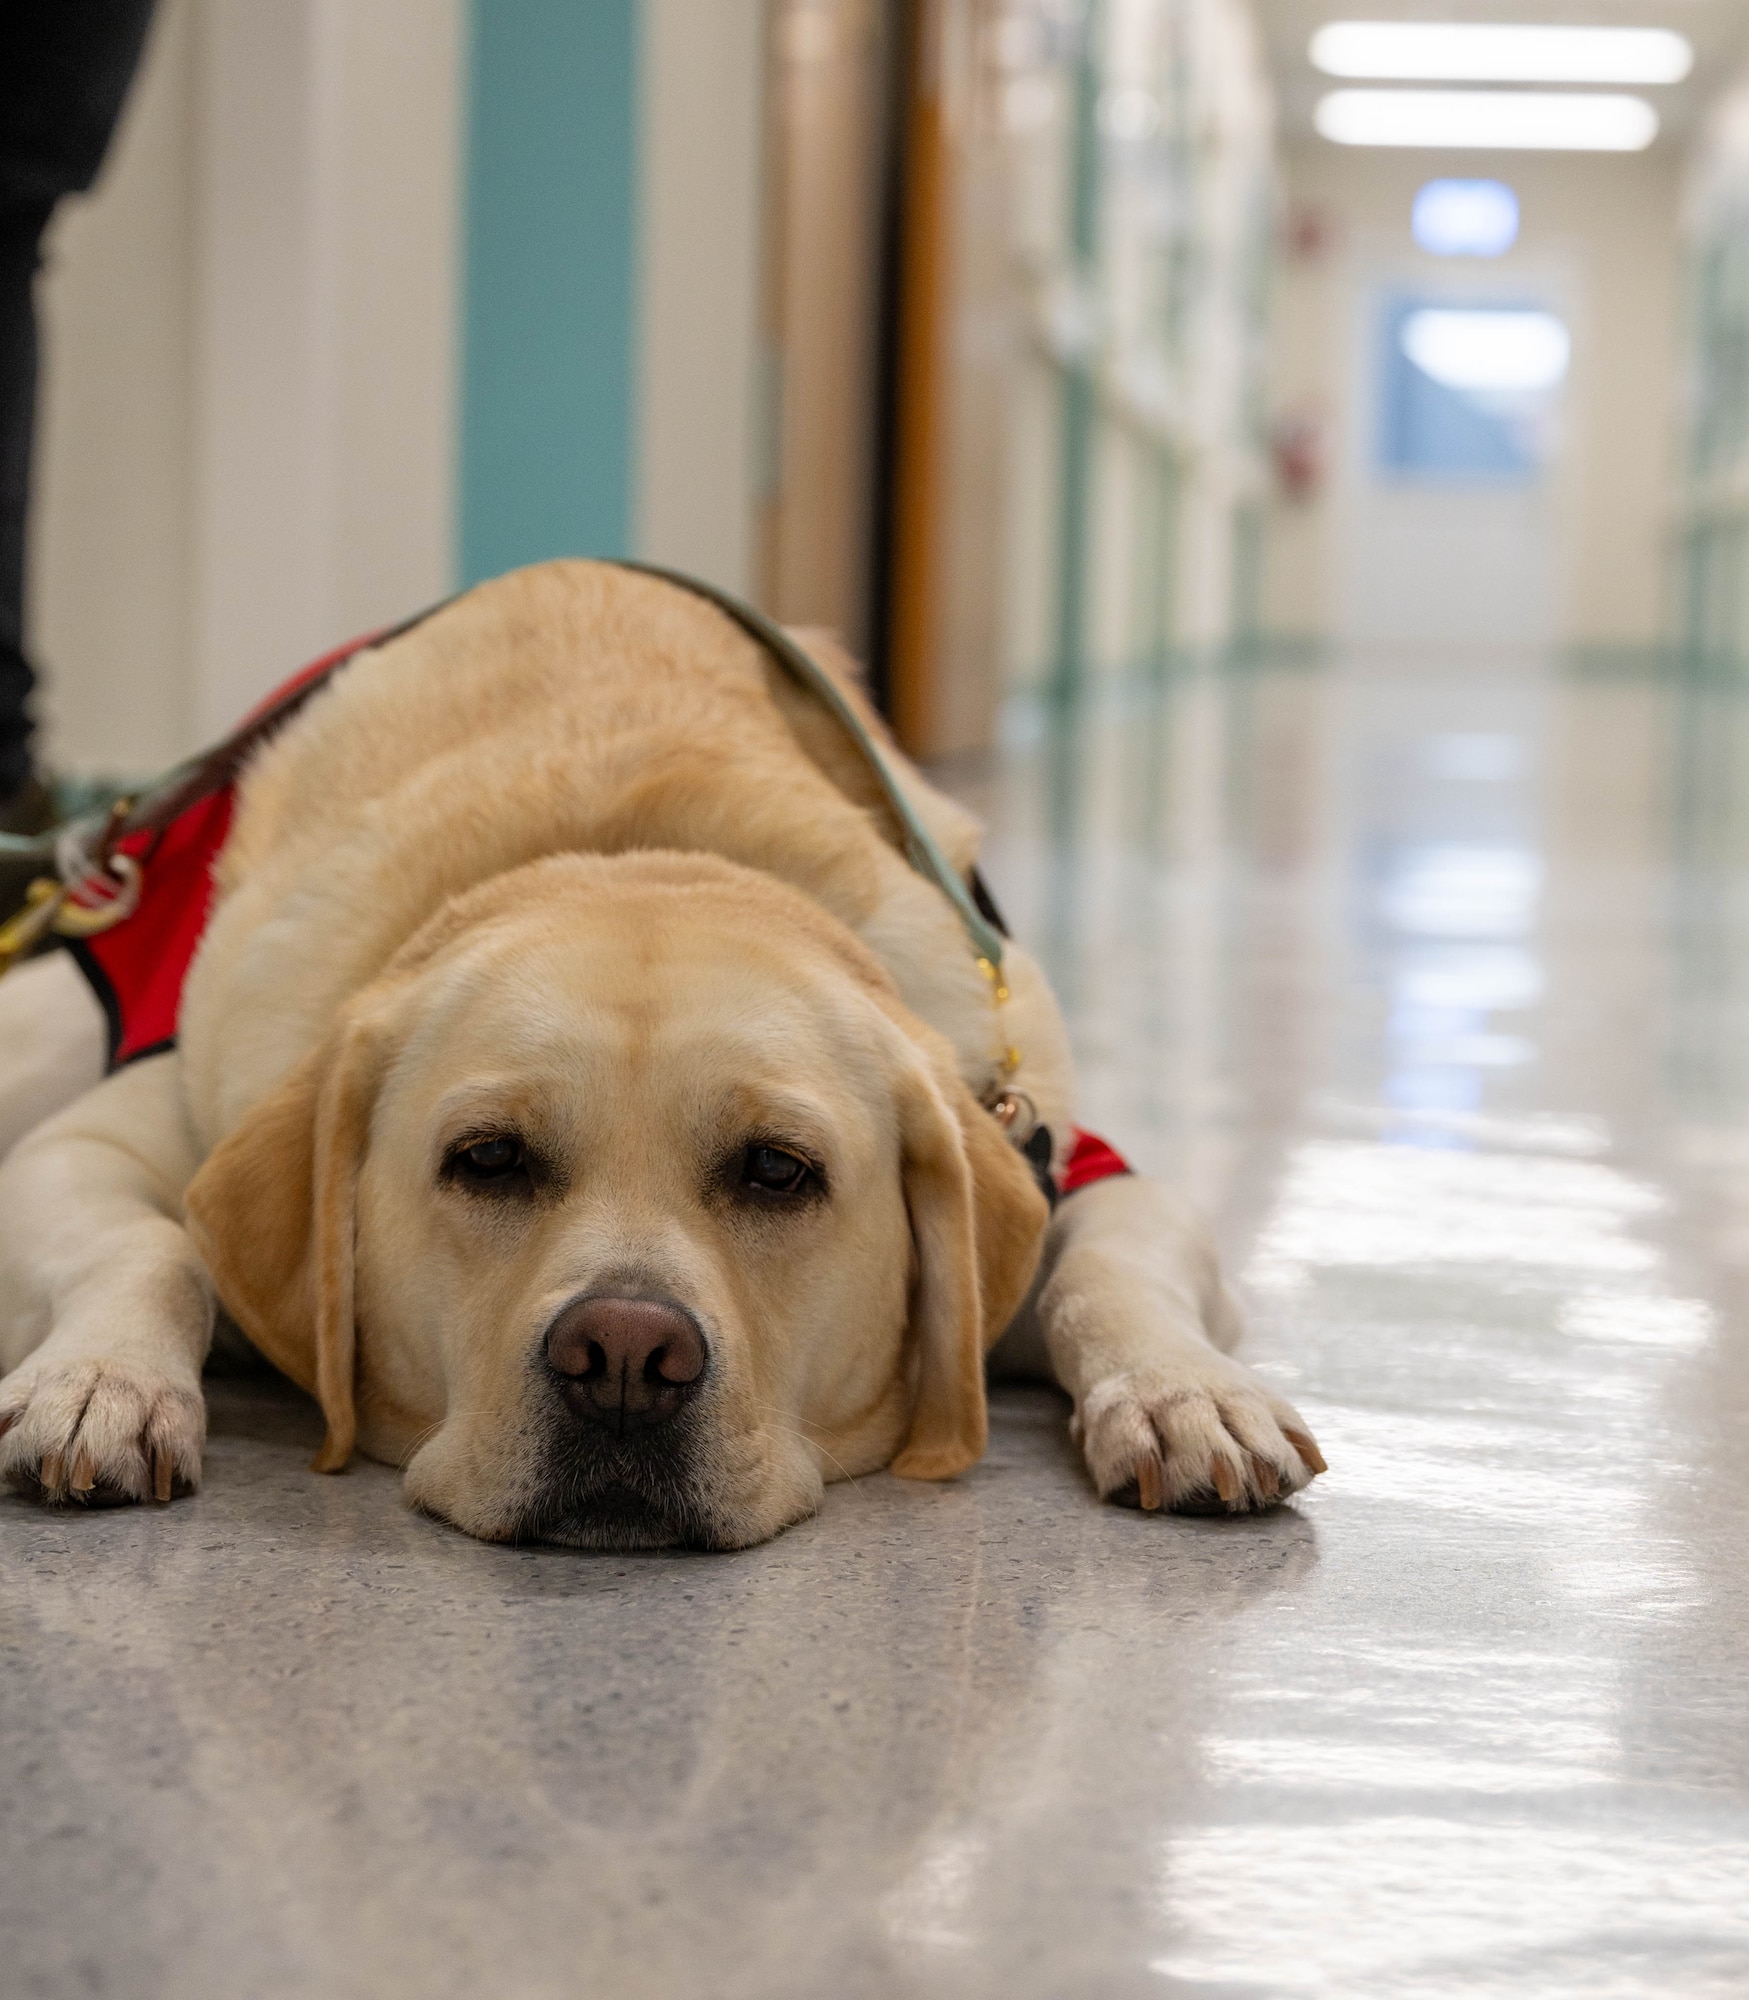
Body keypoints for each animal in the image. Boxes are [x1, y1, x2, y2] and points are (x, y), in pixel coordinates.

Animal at [0, 564, 1312, 1544]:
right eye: (487, 1159)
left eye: (778, 1171)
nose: (624, 1355)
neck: (637, 848)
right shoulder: (114, 1135)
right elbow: (153, 1244)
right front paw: (103, 1380)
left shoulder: (1057, 1153)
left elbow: (1114, 1265)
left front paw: (1187, 1391)